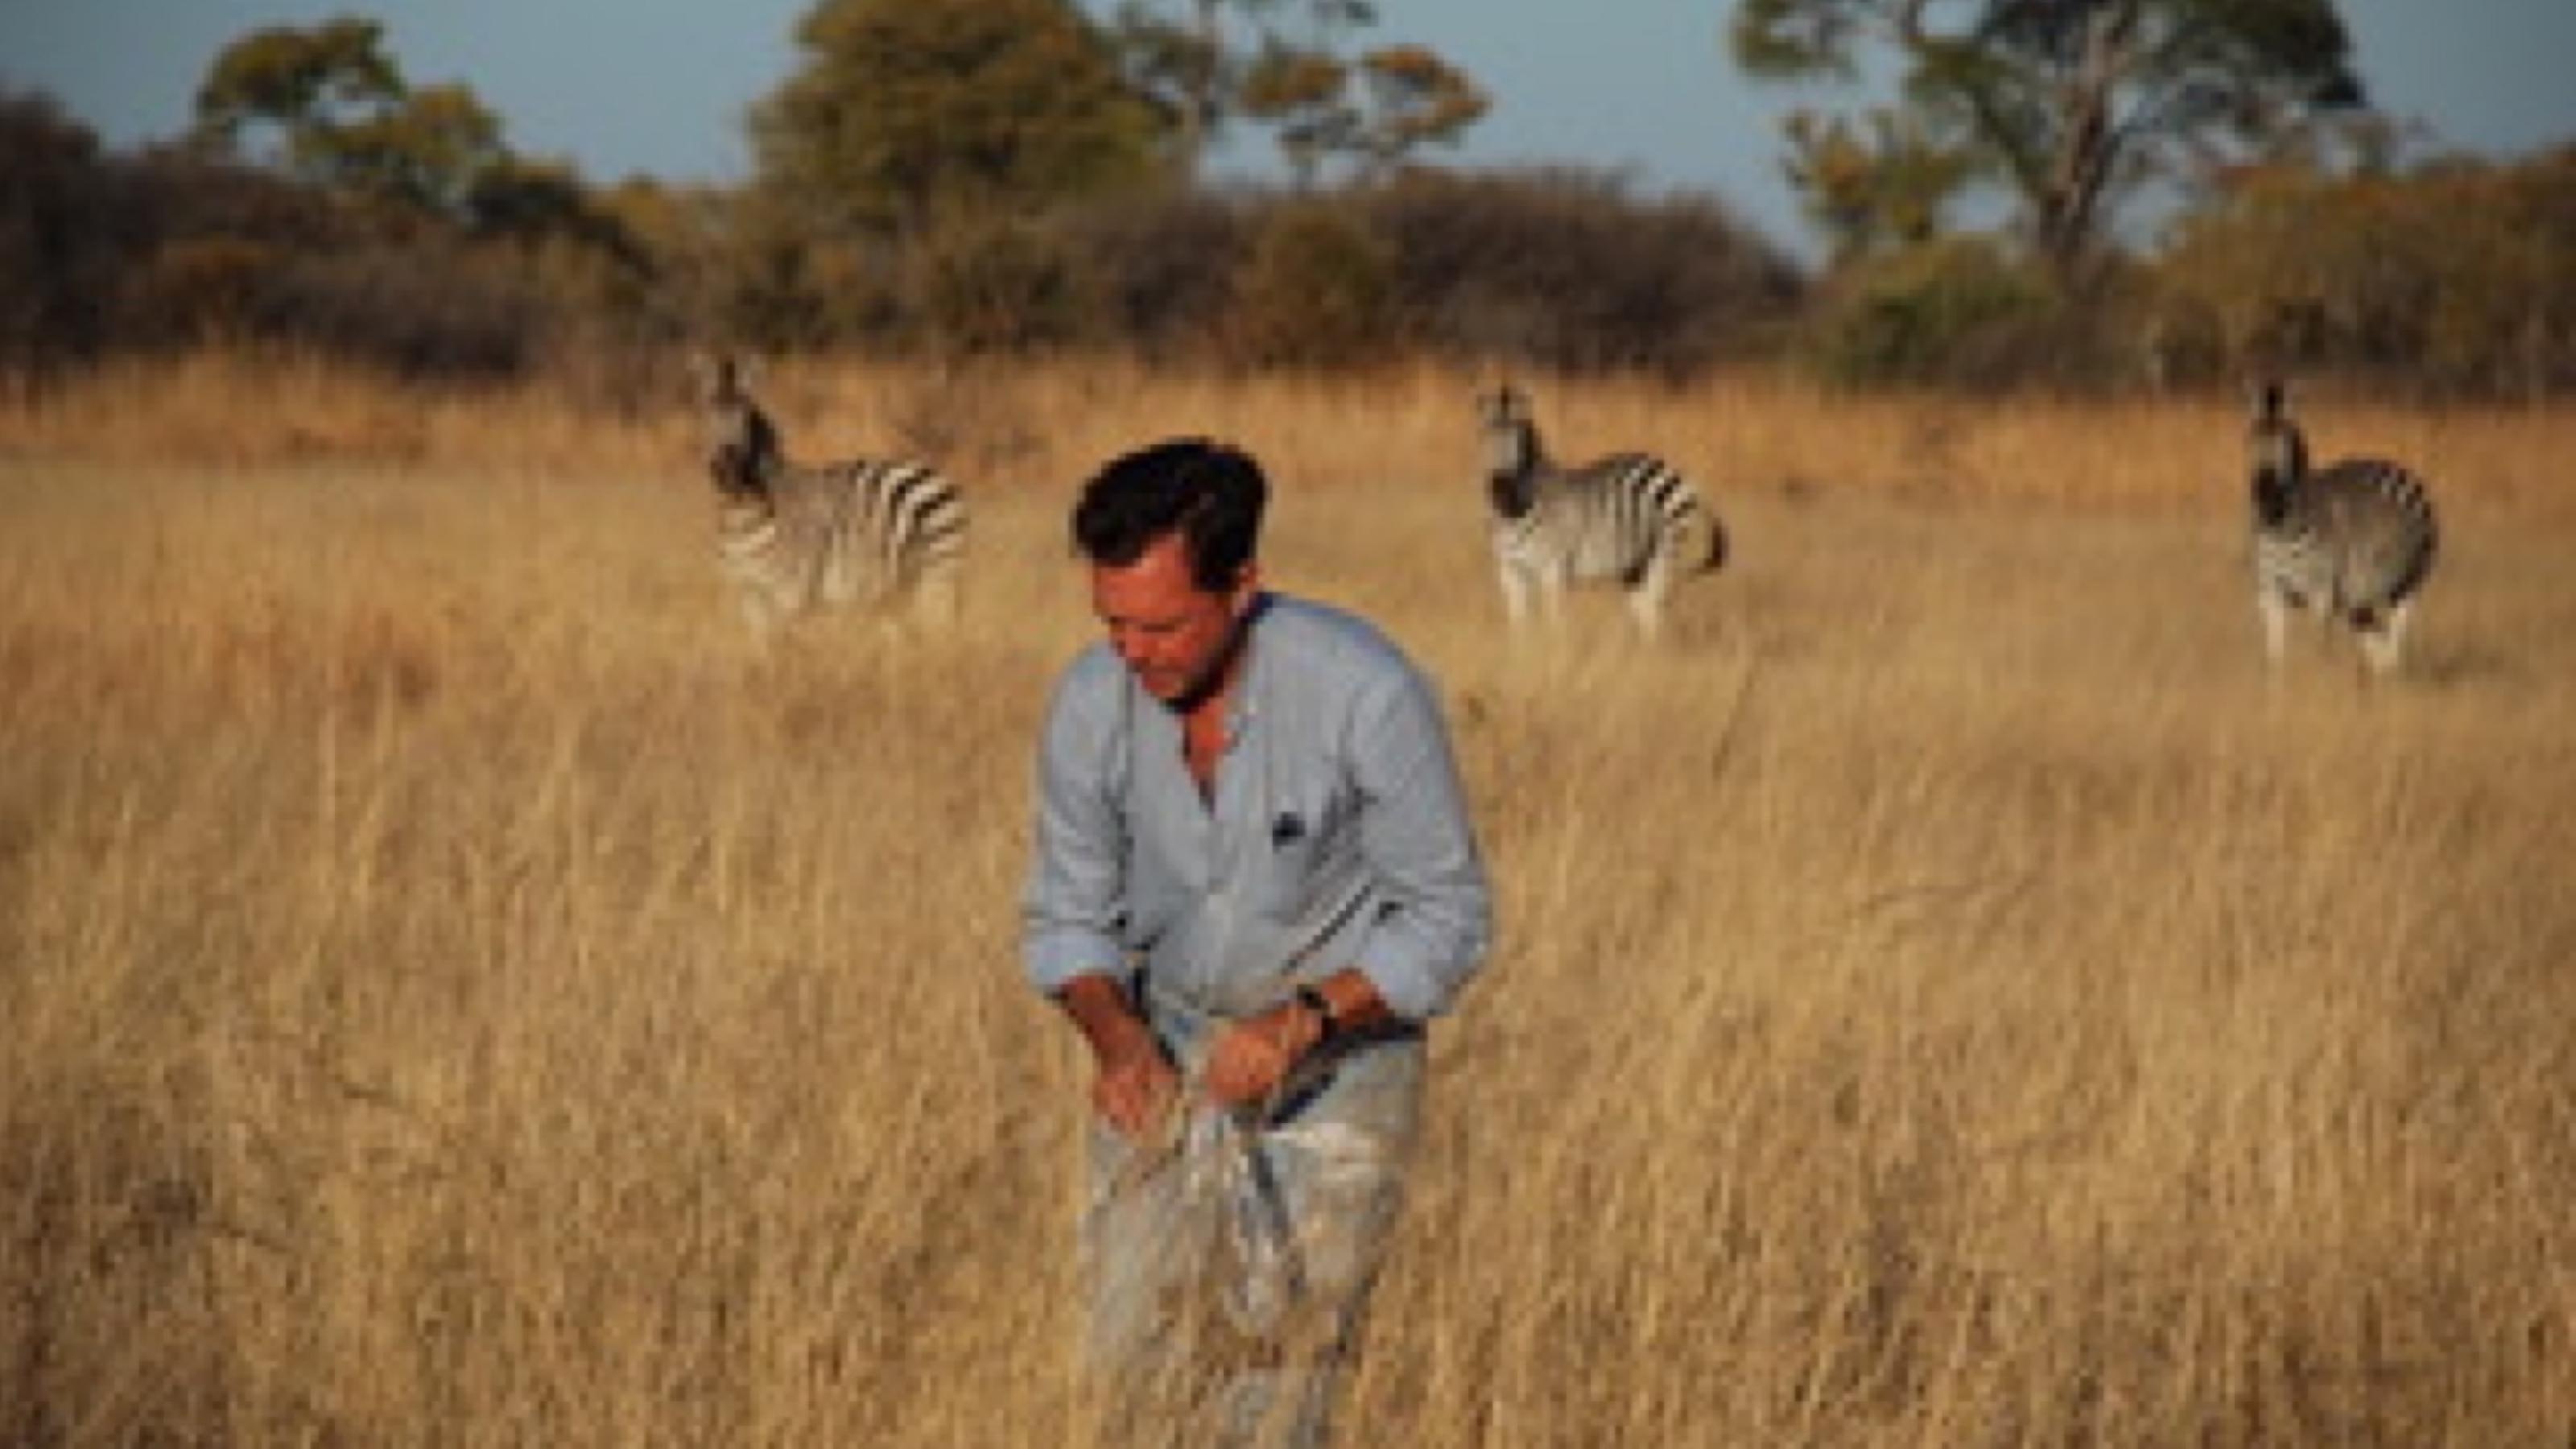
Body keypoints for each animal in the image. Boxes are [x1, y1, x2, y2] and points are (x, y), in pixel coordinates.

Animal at [696, 353, 968, 634]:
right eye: (705, 414)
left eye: (746, 418)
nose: (725, 469)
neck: (740, 514)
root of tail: (934, 472)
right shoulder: (748, 593)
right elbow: (761, 644)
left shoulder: (793, 593)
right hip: (900, 585)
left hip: (940, 571)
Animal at [1484, 378, 1720, 637]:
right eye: (1486, 433)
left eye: (1520, 435)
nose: (1500, 482)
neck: (1513, 513)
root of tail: (1670, 467)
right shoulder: (1509, 571)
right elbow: (1518, 625)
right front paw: (1521, 648)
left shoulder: (1553, 568)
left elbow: (1554, 621)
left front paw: (1554, 647)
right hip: (1635, 565)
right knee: (1644, 610)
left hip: (1664, 550)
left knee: (1653, 607)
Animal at [2246, 384, 2442, 675]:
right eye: (2249, 441)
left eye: (2286, 443)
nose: (2265, 495)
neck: (2281, 532)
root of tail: (2391, 464)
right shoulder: (2270, 593)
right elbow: (2275, 659)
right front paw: (2277, 688)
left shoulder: (2321, 595)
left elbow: (2319, 651)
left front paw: (2315, 685)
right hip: (2360, 595)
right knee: (2377, 646)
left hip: (2409, 582)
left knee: (2395, 637)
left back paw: (2391, 679)